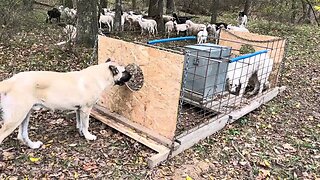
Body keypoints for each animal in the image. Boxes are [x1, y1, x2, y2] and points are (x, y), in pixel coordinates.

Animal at [0, 58, 131, 148]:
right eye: (124, 71)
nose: (131, 75)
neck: (100, 75)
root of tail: (11, 80)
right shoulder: (86, 109)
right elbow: (86, 124)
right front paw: (88, 136)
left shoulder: (79, 109)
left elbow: (80, 123)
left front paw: (81, 133)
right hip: (16, 117)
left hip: (25, 114)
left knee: (22, 135)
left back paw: (33, 146)